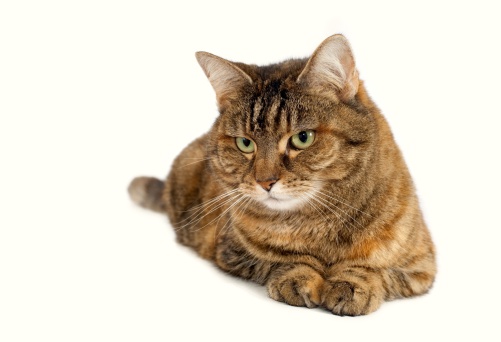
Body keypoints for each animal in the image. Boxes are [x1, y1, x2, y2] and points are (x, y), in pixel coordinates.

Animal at [130, 34, 438, 316]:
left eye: (302, 138)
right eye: (245, 143)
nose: (265, 181)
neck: (319, 224)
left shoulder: (422, 266)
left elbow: (375, 269)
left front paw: (353, 282)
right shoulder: (230, 251)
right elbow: (282, 259)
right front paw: (300, 276)